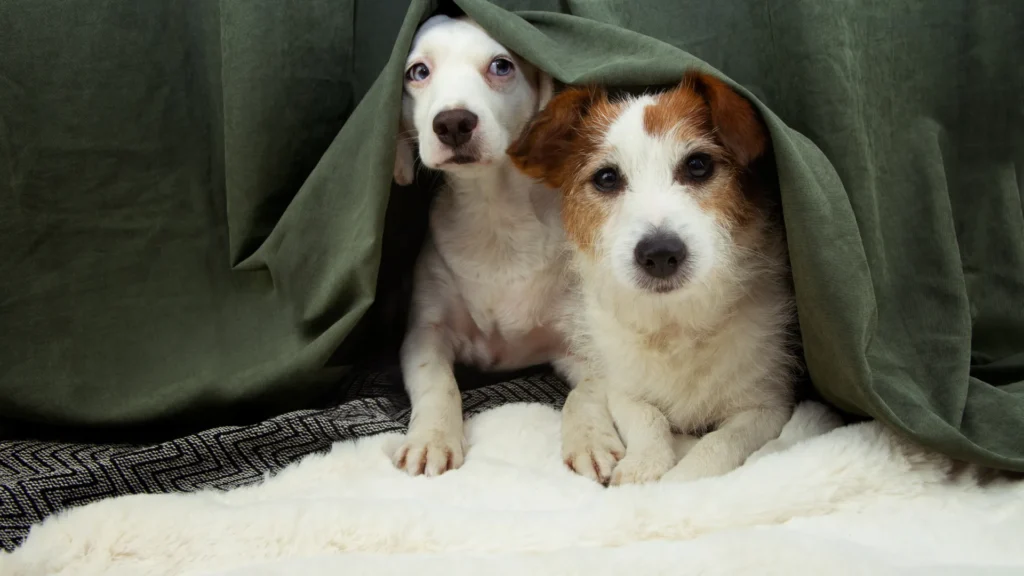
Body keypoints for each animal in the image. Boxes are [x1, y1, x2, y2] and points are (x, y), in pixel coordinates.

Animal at [391, 15, 622, 477]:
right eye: (418, 72)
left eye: (501, 66)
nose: (453, 122)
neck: (495, 218)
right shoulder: (425, 334)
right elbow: (438, 384)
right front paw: (431, 438)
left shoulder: (585, 343)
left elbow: (586, 393)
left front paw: (590, 439)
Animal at [507, 71, 794, 483]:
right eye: (607, 177)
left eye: (698, 165)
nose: (659, 254)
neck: (674, 323)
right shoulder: (623, 388)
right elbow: (647, 416)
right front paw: (644, 464)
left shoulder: (767, 407)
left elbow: (719, 442)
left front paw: (679, 481)